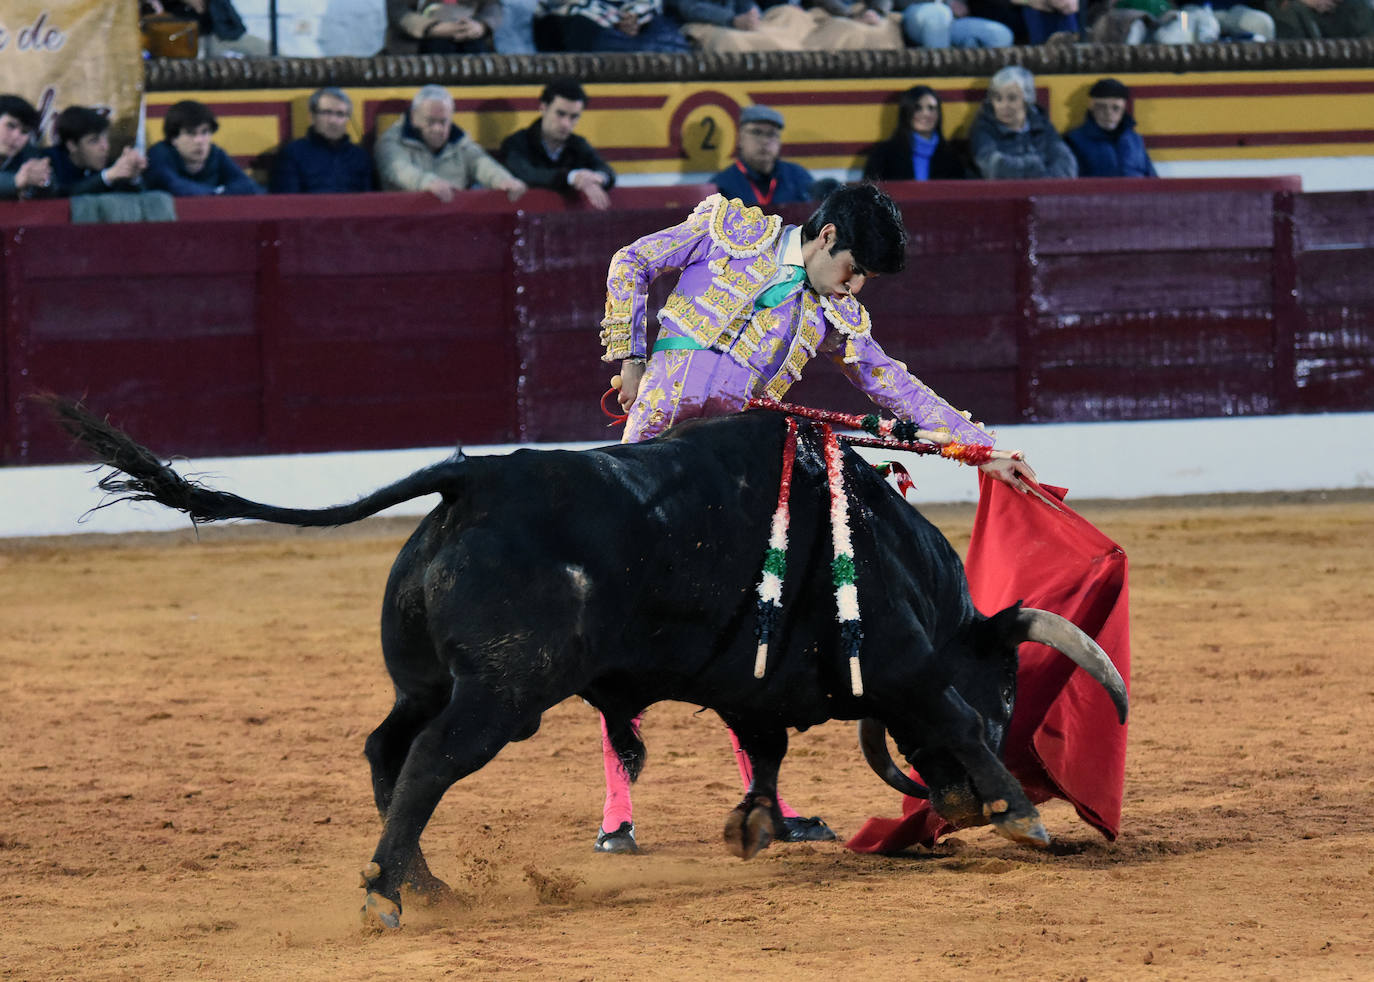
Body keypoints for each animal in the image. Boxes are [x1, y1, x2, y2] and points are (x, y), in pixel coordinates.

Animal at [53, 398, 1126, 928]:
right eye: (1008, 687)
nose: (951, 809)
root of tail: (472, 481)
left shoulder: (754, 688)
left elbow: (765, 749)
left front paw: (754, 828)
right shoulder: (906, 662)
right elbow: (947, 717)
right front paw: (1024, 815)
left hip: (429, 680)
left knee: (387, 749)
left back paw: (426, 883)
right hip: (503, 694)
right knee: (431, 762)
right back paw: (391, 891)